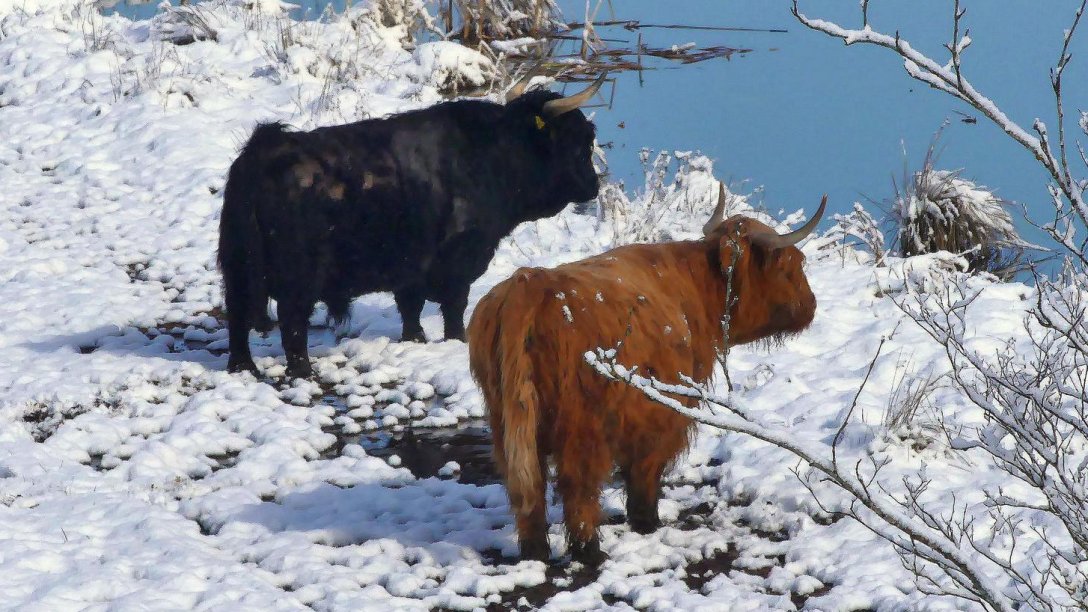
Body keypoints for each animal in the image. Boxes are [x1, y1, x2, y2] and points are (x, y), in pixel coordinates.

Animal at [467, 186, 822, 561]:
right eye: (789, 265)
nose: (811, 304)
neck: (697, 289)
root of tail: (529, 283)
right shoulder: (664, 410)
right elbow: (646, 469)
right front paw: (646, 521)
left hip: (506, 419)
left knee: (526, 485)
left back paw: (535, 552)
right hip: (582, 425)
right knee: (577, 482)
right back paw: (589, 550)